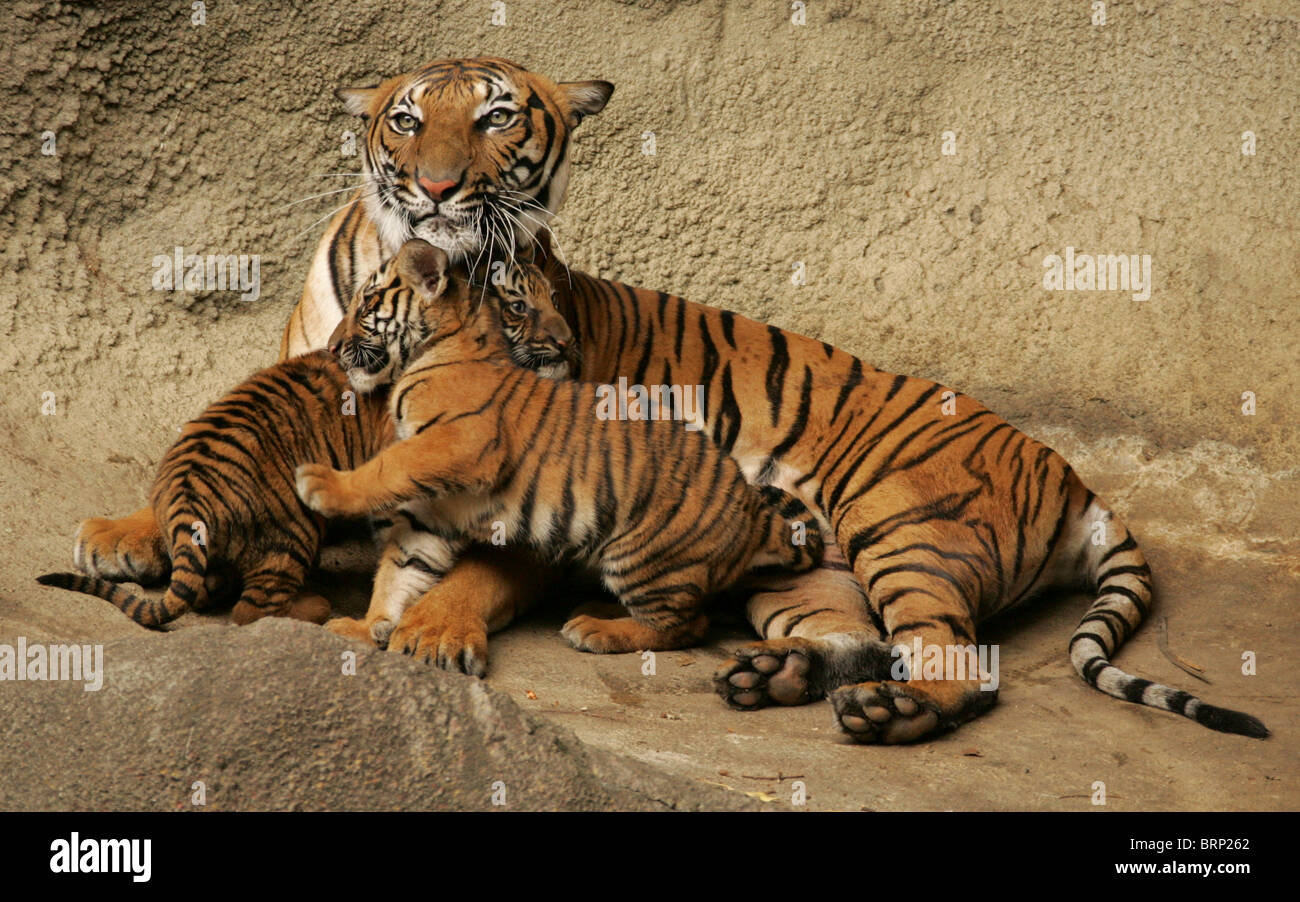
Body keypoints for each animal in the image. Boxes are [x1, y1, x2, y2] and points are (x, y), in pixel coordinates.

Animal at [76, 60, 1263, 743]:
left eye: (500, 119)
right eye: (407, 122)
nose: (442, 190)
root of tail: (1078, 481)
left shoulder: (527, 487)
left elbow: (469, 560)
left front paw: (435, 631)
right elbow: (212, 464)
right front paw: (122, 529)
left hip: (905, 525)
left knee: (955, 665)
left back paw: (881, 713)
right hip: (815, 576)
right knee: (856, 637)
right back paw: (774, 676)